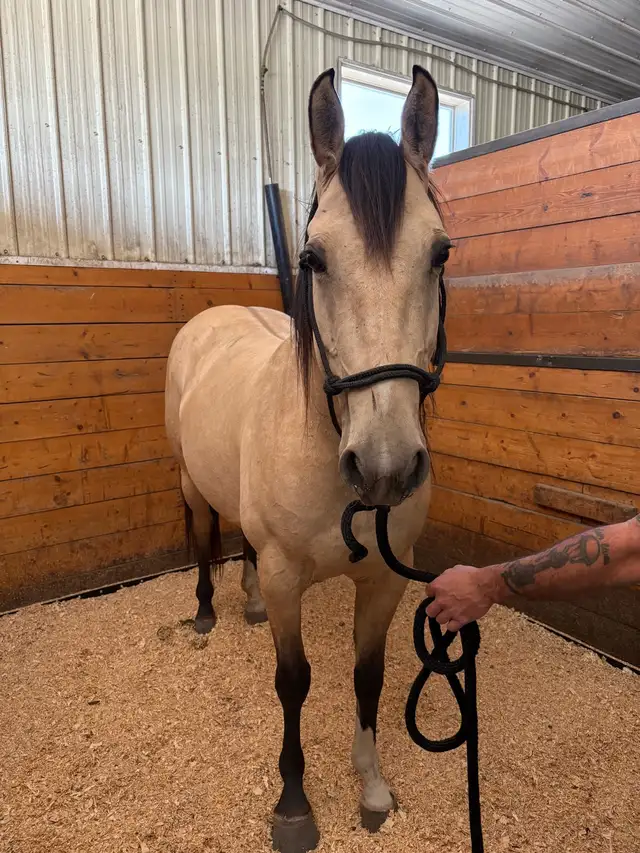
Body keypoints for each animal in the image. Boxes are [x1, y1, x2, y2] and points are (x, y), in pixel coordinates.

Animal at [165, 64, 451, 853]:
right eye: (314, 257)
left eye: (440, 253)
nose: (385, 467)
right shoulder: (290, 575)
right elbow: (294, 681)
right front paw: (294, 804)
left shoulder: (383, 580)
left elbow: (367, 675)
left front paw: (373, 786)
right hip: (190, 484)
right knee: (203, 535)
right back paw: (207, 612)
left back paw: (247, 602)